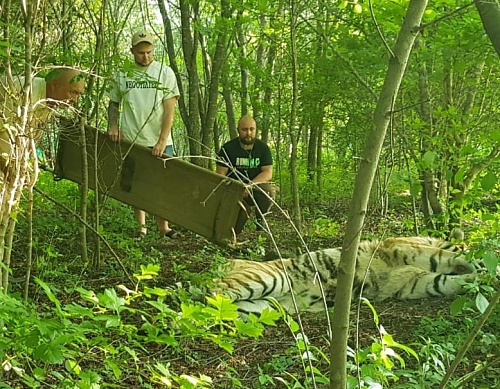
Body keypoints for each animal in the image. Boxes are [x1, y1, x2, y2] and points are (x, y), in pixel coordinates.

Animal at [211, 232, 476, 314]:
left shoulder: (415, 282)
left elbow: (447, 282)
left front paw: (475, 281)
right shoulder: (406, 250)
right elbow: (449, 256)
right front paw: (480, 263)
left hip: (259, 308)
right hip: (271, 279)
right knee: (211, 293)